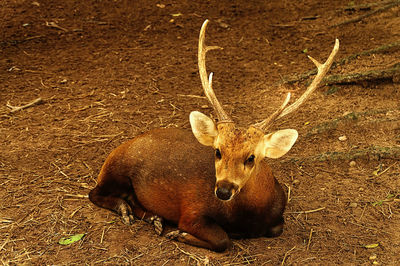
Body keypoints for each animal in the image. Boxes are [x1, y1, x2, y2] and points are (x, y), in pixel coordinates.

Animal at [87, 19, 338, 251]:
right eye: (217, 151)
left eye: (251, 157)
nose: (223, 190)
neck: (248, 218)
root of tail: (122, 146)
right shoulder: (191, 211)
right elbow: (222, 240)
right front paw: (178, 233)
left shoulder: (278, 216)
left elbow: (276, 229)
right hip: (114, 169)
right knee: (94, 193)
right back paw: (129, 212)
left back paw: (154, 218)